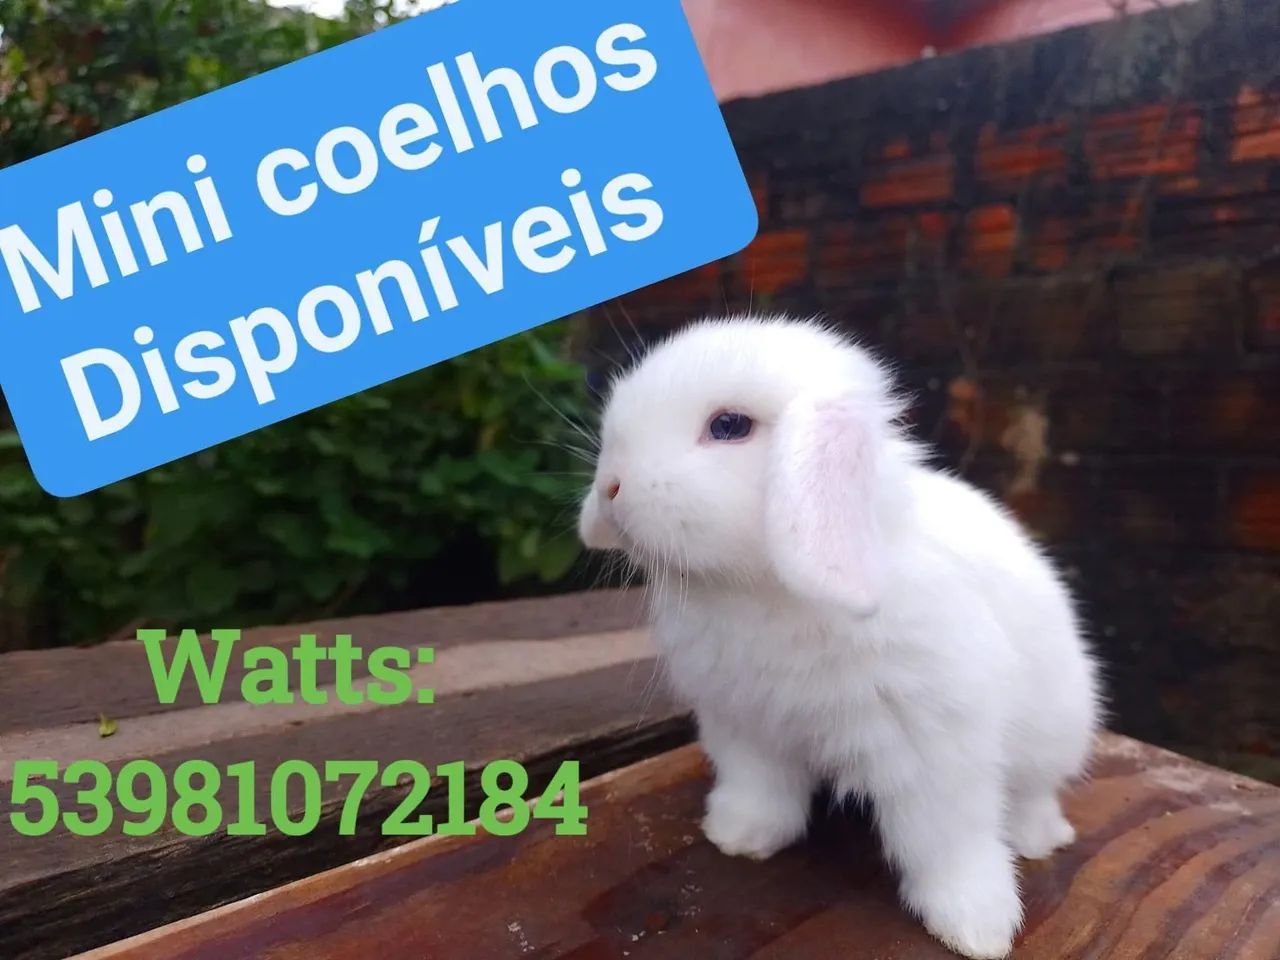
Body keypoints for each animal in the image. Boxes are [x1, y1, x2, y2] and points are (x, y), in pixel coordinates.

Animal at [577, 315, 1102, 960]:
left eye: (729, 426)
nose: (611, 488)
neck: (763, 591)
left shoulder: (938, 748)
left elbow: (950, 840)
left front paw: (976, 927)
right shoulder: (746, 725)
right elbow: (761, 790)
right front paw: (739, 837)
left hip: (1055, 733)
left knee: (1033, 794)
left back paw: (1037, 839)